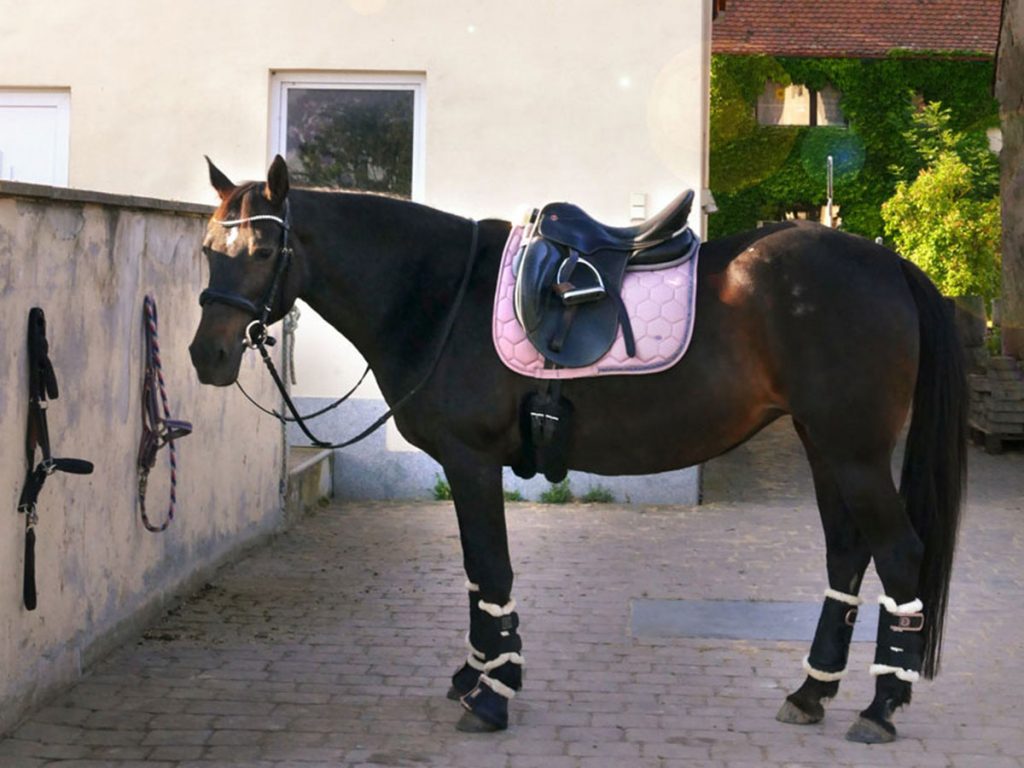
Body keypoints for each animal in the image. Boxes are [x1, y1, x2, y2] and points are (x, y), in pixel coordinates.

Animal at [189, 156, 967, 743]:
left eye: (263, 251)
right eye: (207, 250)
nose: (207, 355)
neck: (438, 294)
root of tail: (890, 265)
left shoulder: (471, 461)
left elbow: (491, 571)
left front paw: (493, 693)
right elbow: (477, 578)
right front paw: (477, 673)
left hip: (852, 452)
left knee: (899, 555)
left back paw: (880, 708)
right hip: (824, 446)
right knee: (847, 555)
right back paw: (811, 692)